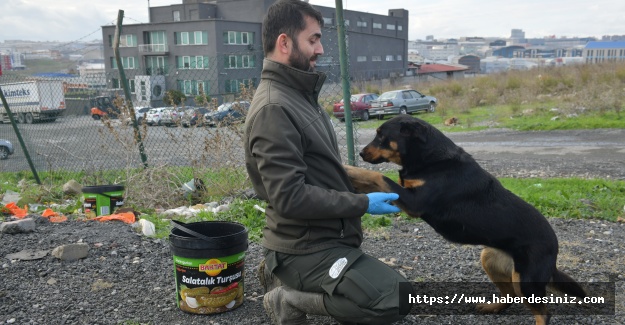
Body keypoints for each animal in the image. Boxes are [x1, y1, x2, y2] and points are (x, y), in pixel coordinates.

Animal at [346, 114, 584, 324]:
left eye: (381, 135)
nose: (361, 153)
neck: (430, 158)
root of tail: (554, 250)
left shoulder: (415, 202)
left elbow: (377, 176)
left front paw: (349, 168)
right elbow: (372, 181)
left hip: (526, 280)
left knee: (543, 313)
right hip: (490, 258)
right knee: (510, 295)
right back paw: (492, 307)